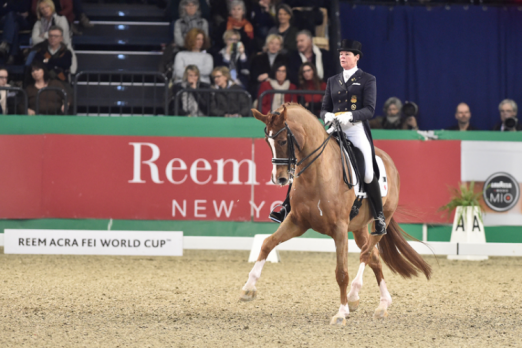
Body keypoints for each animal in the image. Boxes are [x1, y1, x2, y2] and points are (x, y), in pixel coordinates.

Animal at [241, 102, 430, 324]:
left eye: (282, 140)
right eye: (267, 142)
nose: (279, 179)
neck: (316, 175)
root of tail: (388, 161)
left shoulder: (339, 229)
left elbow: (341, 273)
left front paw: (340, 313)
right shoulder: (296, 221)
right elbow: (267, 243)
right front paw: (248, 289)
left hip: (380, 221)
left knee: (367, 253)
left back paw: (355, 297)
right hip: (358, 228)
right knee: (374, 257)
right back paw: (382, 304)